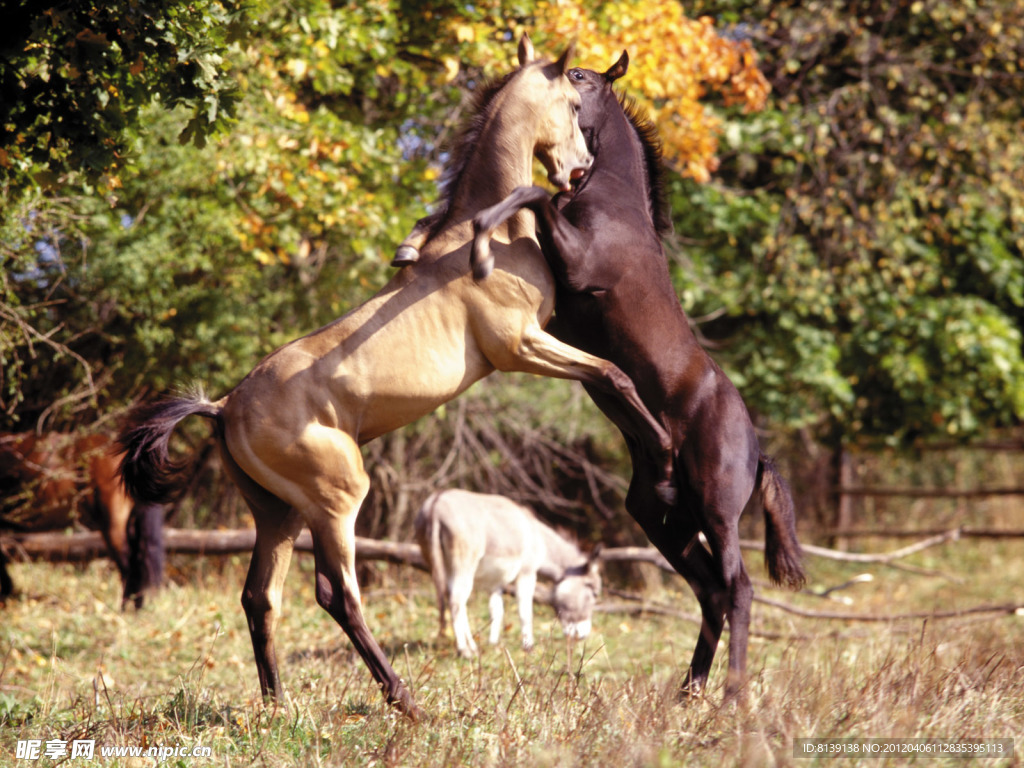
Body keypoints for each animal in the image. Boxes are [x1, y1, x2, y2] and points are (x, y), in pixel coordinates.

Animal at [117, 36, 671, 720]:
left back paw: (279, 705)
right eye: (571, 102)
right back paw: (404, 700)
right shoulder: (522, 346)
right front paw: (664, 455)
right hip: (337, 501)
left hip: (279, 514)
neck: (481, 237)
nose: (576, 171)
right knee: (337, 595)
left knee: (260, 597)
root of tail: (222, 408)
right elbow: (616, 375)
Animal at [464, 57, 806, 700]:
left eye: (580, 77)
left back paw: (731, 696)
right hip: (664, 521)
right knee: (711, 592)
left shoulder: (575, 265)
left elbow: (530, 195)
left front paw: (479, 235)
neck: (613, 204)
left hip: (717, 513)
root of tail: (759, 452)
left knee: (739, 588)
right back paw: (688, 691)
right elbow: (534, 201)